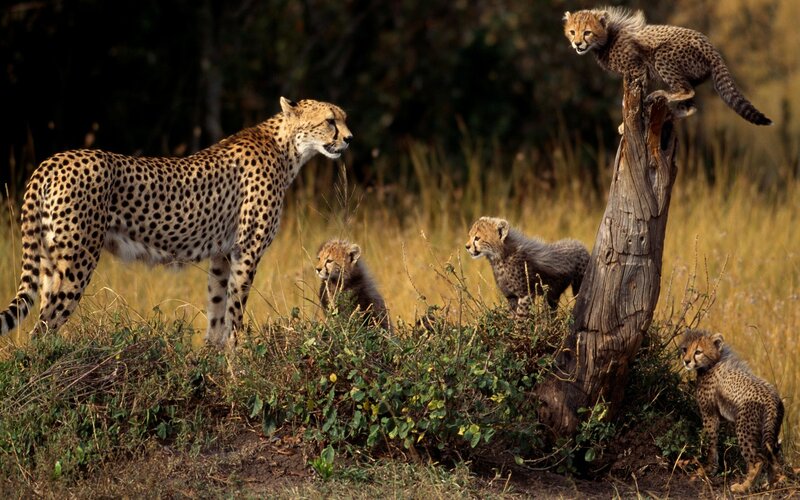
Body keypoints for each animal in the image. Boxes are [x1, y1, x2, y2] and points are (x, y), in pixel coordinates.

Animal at [0, 97, 352, 348]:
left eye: (344, 118)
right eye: (329, 121)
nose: (349, 139)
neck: (287, 148)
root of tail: (52, 160)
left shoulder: (222, 256)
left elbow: (217, 310)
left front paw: (214, 359)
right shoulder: (246, 252)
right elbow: (235, 312)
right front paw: (238, 360)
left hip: (50, 260)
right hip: (77, 260)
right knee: (42, 329)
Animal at [563, 6, 772, 125]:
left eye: (587, 32)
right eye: (572, 32)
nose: (577, 44)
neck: (607, 38)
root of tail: (711, 47)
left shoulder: (637, 67)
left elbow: (637, 93)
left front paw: (626, 124)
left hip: (662, 56)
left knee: (686, 90)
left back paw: (661, 95)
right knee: (692, 105)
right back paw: (675, 112)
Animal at [680, 328, 785, 493]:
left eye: (698, 352)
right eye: (685, 349)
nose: (686, 361)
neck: (712, 363)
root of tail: (773, 399)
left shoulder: (710, 414)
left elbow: (711, 442)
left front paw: (708, 469)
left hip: (744, 429)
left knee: (757, 460)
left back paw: (743, 487)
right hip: (770, 430)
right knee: (772, 456)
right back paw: (771, 484)